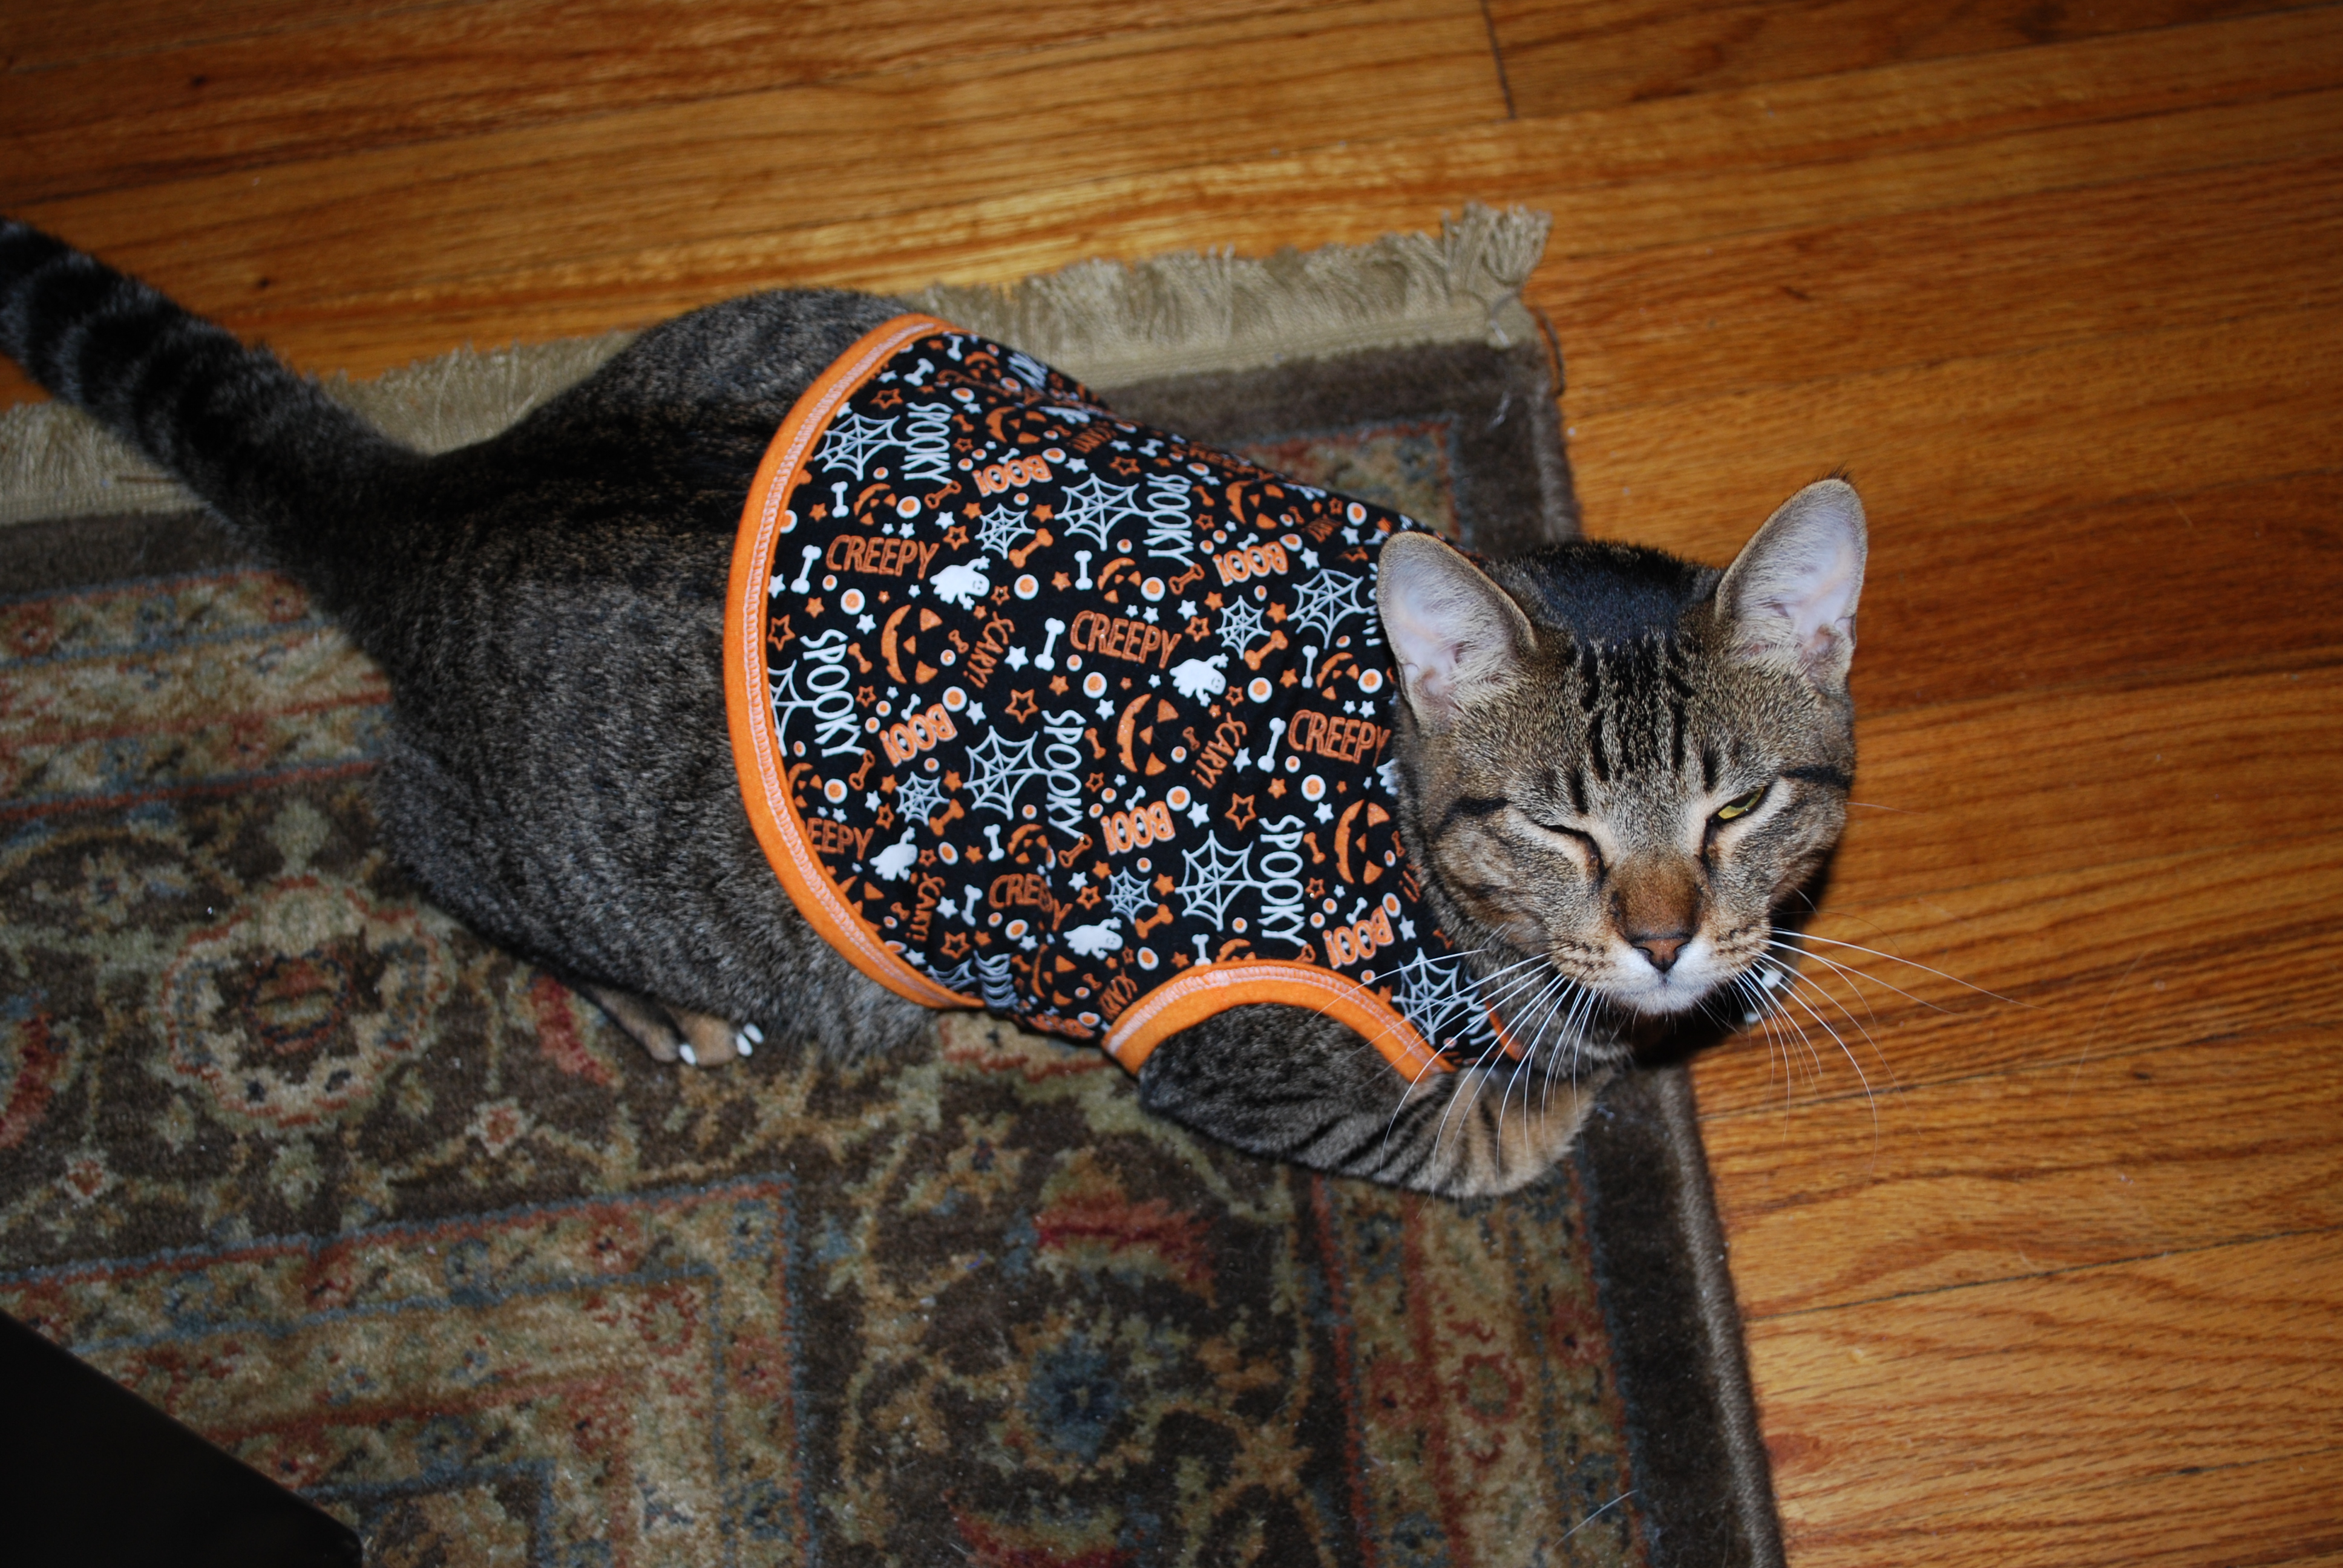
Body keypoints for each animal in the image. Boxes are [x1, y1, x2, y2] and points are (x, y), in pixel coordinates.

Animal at [0, 221, 1864, 1197]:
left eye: (1740, 804)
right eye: (1556, 823)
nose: (1669, 935)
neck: (1379, 783)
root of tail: (452, 494)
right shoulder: (1246, 1058)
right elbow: (1487, 1118)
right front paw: (1598, 1060)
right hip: (608, 879)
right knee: (417, 829)